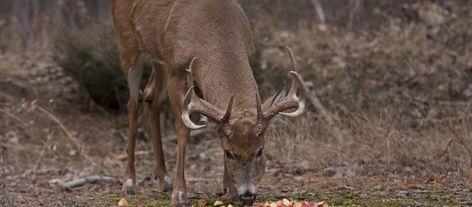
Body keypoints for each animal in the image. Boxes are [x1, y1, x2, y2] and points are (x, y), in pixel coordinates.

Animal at [112, 0, 308, 206]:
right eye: (229, 153)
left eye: (260, 151)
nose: (248, 195)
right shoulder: (176, 71)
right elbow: (183, 129)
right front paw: (179, 194)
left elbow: (218, 127)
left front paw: (230, 189)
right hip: (127, 45)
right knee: (133, 103)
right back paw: (129, 182)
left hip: (159, 59)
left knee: (151, 96)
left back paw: (164, 180)